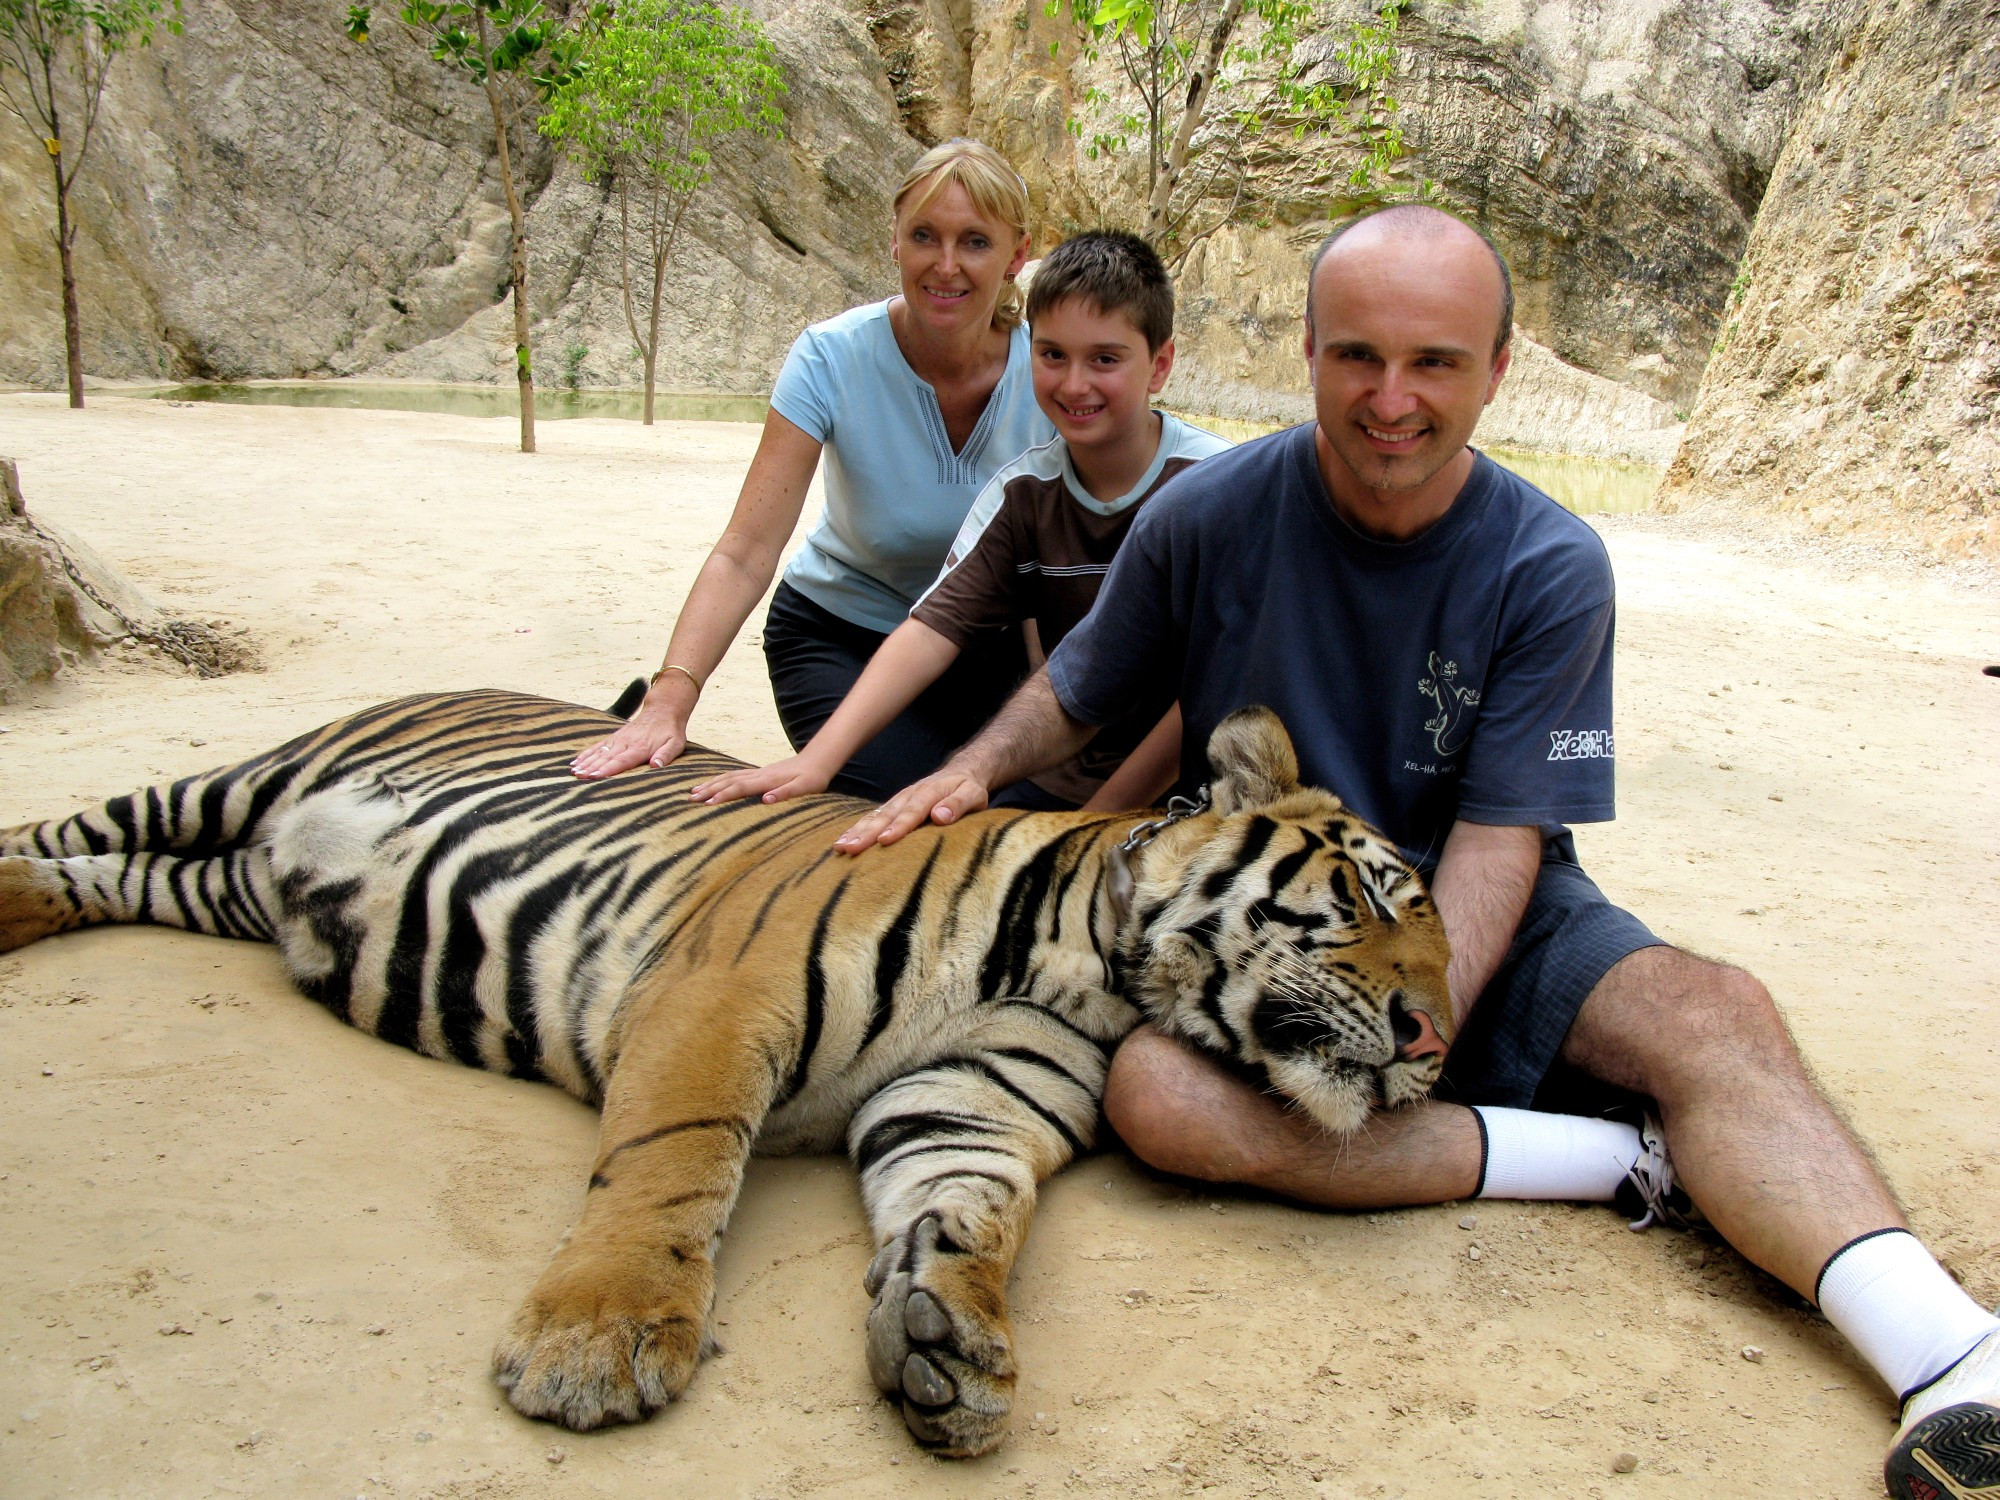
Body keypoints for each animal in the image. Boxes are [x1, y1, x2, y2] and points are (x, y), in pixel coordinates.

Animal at [0, 692, 1448, 1456]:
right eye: (1373, 902)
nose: (1435, 1041)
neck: (1090, 970)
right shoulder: (716, 1000)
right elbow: (673, 1168)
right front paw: (596, 1344)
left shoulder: (967, 1100)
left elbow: (970, 1213)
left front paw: (948, 1339)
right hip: (238, 781)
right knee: (67, 822)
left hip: (227, 887)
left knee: (109, 874)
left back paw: (19, 907)